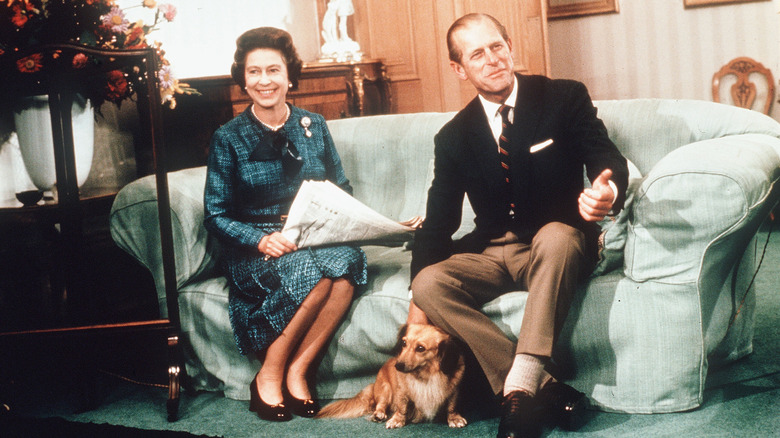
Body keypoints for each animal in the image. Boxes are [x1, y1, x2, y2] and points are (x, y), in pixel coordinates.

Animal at [314, 324, 466, 430]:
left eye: (420, 348)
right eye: (404, 343)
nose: (397, 366)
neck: (425, 376)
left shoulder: (454, 392)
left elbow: (451, 407)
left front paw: (454, 419)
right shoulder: (402, 392)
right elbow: (402, 408)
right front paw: (397, 420)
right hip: (385, 389)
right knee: (380, 405)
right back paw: (379, 414)